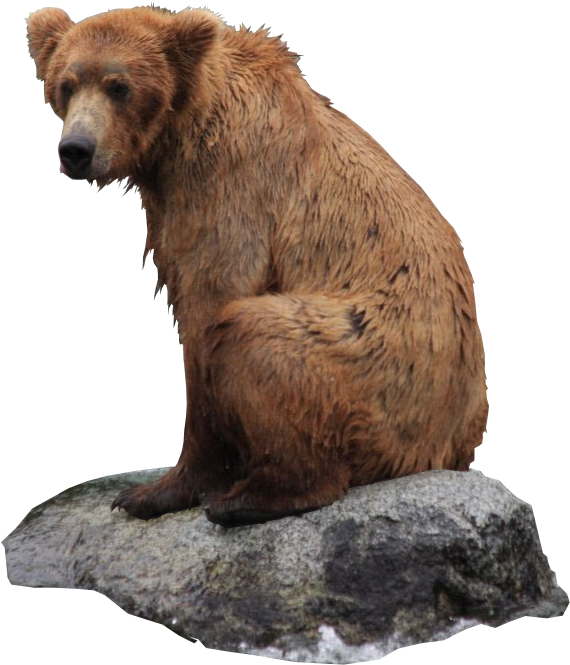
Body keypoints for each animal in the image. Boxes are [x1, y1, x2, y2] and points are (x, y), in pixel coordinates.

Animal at [26, 6, 488, 527]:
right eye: (67, 84)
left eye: (118, 85)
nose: (75, 149)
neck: (177, 135)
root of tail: (447, 450)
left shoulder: (229, 184)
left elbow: (210, 310)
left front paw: (154, 492)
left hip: (379, 369)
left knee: (254, 331)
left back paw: (249, 499)